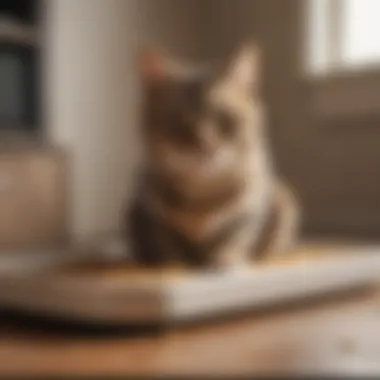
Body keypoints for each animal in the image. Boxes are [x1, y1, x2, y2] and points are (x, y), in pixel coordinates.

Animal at [124, 44, 300, 270]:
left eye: (222, 117)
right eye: (179, 119)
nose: (205, 143)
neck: (203, 196)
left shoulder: (251, 210)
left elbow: (235, 237)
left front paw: (225, 259)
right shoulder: (149, 211)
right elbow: (166, 239)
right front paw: (173, 262)